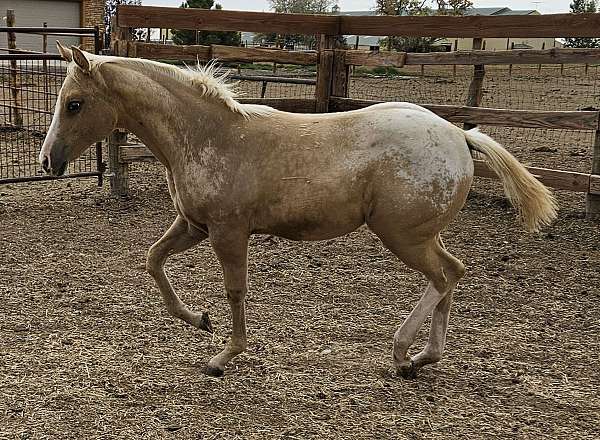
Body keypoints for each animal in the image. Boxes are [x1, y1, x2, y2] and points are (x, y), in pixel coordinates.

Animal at [38, 43, 556, 376]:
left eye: (74, 103)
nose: (47, 162)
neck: (207, 136)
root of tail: (460, 136)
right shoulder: (193, 225)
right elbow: (153, 261)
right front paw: (198, 320)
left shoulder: (228, 232)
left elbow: (235, 291)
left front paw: (223, 357)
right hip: (424, 233)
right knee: (453, 271)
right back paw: (425, 357)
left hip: (401, 235)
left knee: (443, 276)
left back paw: (401, 352)